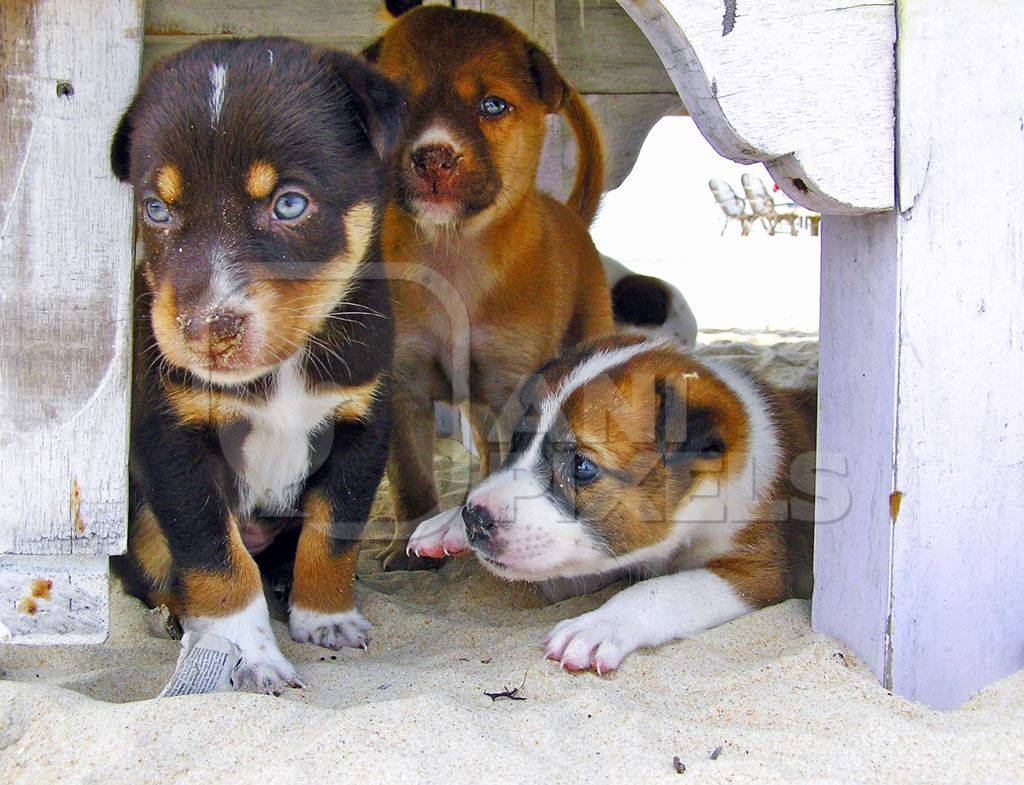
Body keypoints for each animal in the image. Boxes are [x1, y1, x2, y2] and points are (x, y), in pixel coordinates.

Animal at [109, 38, 399, 695]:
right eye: (156, 210)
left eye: (289, 203)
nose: (204, 331)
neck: (281, 369)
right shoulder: (172, 442)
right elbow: (216, 558)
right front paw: (244, 652)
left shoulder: (363, 422)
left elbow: (332, 533)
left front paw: (326, 616)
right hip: (139, 516)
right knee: (154, 570)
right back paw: (176, 617)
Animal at [407, 335, 815, 671]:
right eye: (520, 441)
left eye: (582, 466)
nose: (474, 517)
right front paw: (449, 523)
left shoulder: (757, 573)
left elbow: (663, 589)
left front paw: (600, 625)